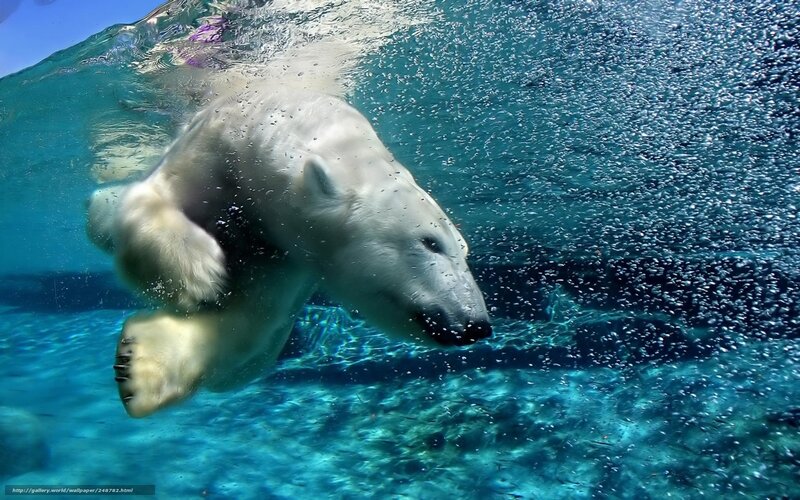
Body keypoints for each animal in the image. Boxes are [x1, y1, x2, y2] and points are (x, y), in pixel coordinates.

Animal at [87, 87, 491, 418]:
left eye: (464, 251)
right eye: (430, 242)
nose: (476, 325)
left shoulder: (287, 255)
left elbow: (251, 320)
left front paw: (139, 366)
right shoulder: (213, 149)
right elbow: (154, 198)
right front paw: (199, 272)